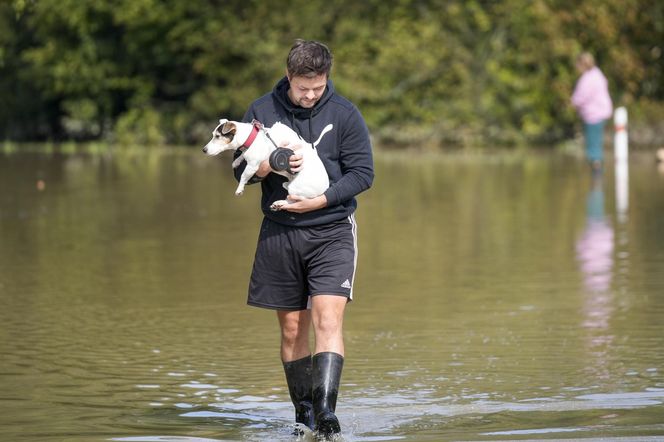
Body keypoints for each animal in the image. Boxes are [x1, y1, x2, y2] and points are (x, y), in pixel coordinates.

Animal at [200, 120, 330, 212]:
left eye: (217, 136)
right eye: (213, 135)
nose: (204, 150)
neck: (252, 138)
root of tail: (324, 189)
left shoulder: (252, 166)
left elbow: (243, 176)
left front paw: (239, 189)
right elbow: (242, 155)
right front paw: (237, 161)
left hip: (297, 188)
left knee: (294, 201)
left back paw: (281, 202)